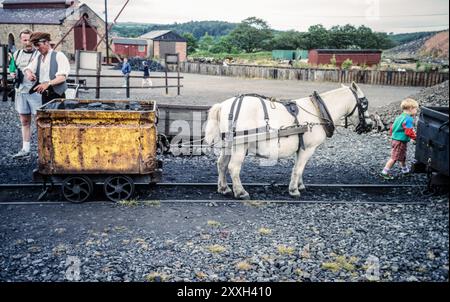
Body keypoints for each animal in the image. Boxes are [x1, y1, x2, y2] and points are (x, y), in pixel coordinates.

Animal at [204, 82, 372, 199]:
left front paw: (300, 185)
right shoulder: (308, 148)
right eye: (364, 103)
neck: (317, 111)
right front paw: (294, 190)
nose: (370, 125)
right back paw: (240, 192)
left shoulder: (301, 148)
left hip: (228, 145)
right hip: (240, 145)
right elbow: (298, 169)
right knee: (233, 167)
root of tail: (223, 105)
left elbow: (299, 168)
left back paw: (224, 188)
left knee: (222, 164)